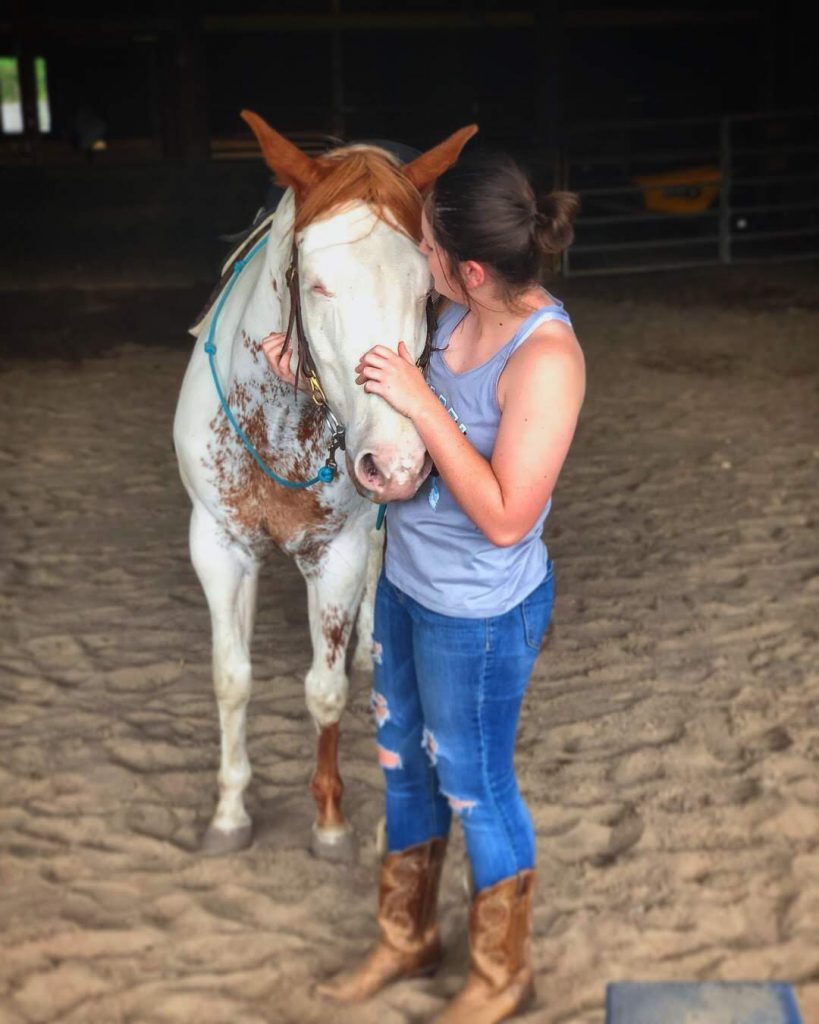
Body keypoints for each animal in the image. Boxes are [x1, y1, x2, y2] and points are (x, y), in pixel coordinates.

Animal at [174, 112, 479, 860]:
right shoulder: (217, 546)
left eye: (424, 290)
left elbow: (325, 689)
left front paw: (331, 821)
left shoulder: (335, 553)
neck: (282, 422)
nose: (396, 463)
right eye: (315, 284)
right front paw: (229, 813)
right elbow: (231, 678)